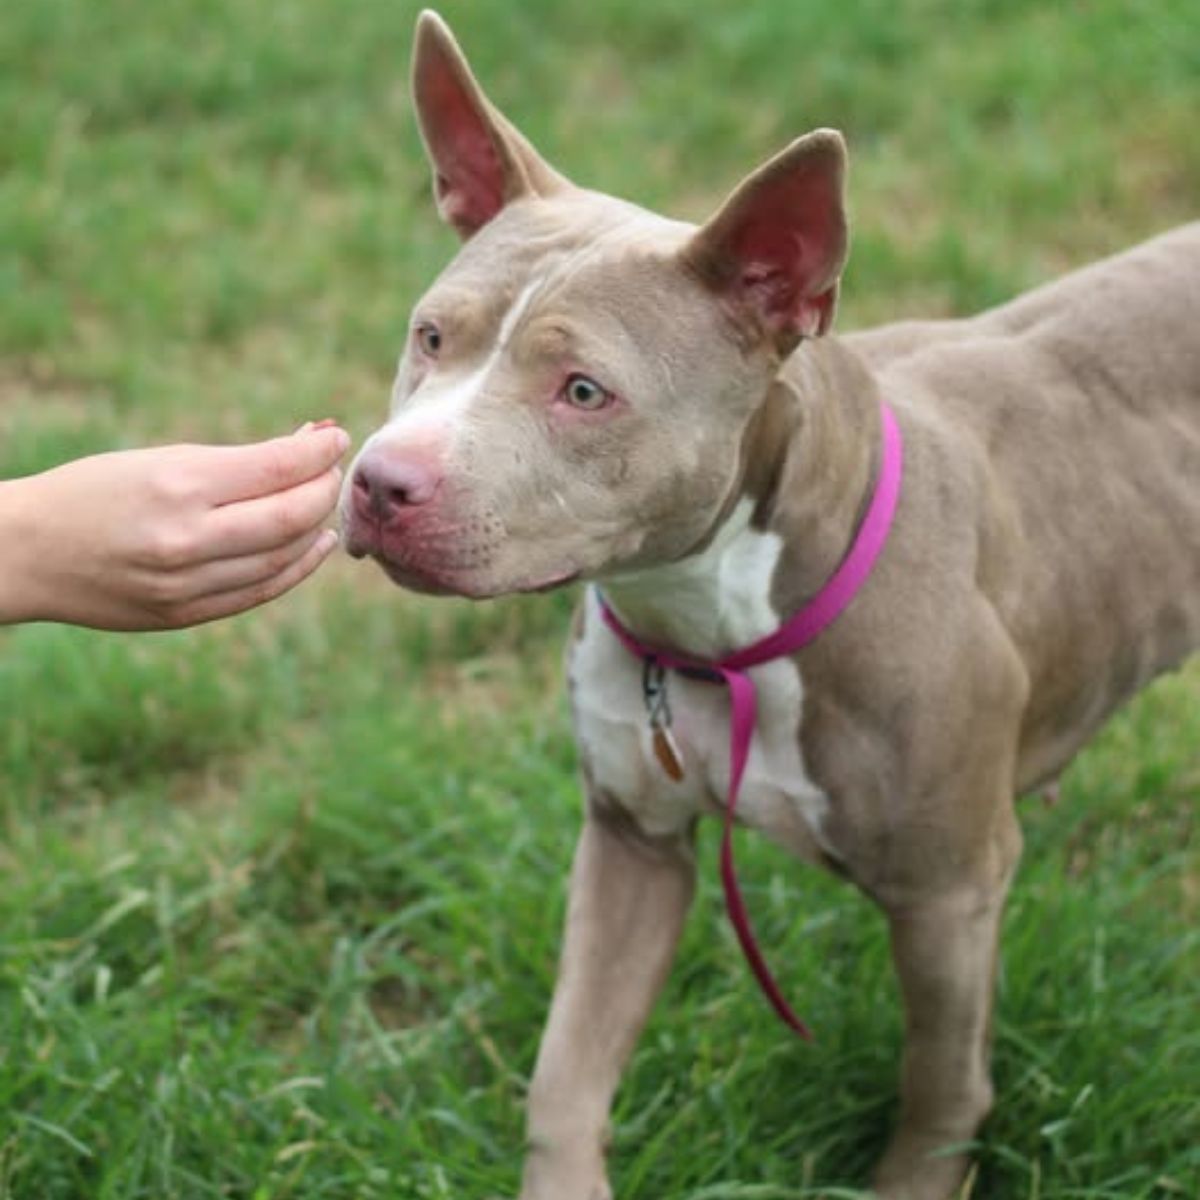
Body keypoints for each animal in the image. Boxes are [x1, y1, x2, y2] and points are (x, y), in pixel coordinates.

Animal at [338, 11, 1200, 1200]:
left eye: (584, 392)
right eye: (430, 336)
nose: (382, 483)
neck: (707, 624)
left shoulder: (950, 895)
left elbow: (940, 1092)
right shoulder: (631, 844)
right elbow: (565, 1072)